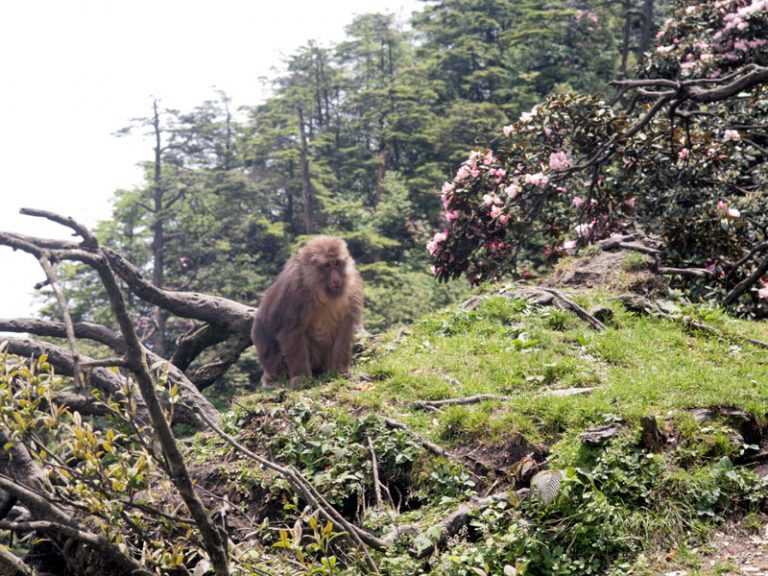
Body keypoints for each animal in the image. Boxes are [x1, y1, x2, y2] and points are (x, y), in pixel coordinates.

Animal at [249, 234, 364, 388]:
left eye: (337, 263)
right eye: (327, 266)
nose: (336, 279)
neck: (320, 290)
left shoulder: (352, 288)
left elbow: (344, 328)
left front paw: (339, 370)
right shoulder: (294, 291)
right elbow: (292, 331)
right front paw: (301, 377)